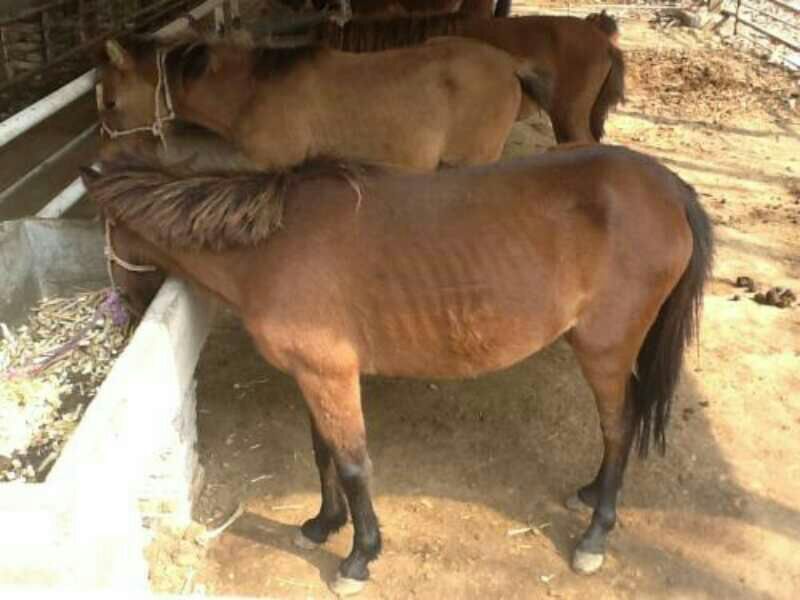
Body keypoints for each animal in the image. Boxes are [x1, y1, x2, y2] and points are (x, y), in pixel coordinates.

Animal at [81, 143, 713, 596]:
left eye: (102, 236)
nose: (124, 314)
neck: (271, 248)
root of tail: (670, 188)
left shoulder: (332, 376)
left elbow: (354, 464)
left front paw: (359, 556)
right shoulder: (313, 377)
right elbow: (324, 452)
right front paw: (322, 525)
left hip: (604, 351)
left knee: (619, 429)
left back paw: (595, 535)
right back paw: (587, 495)